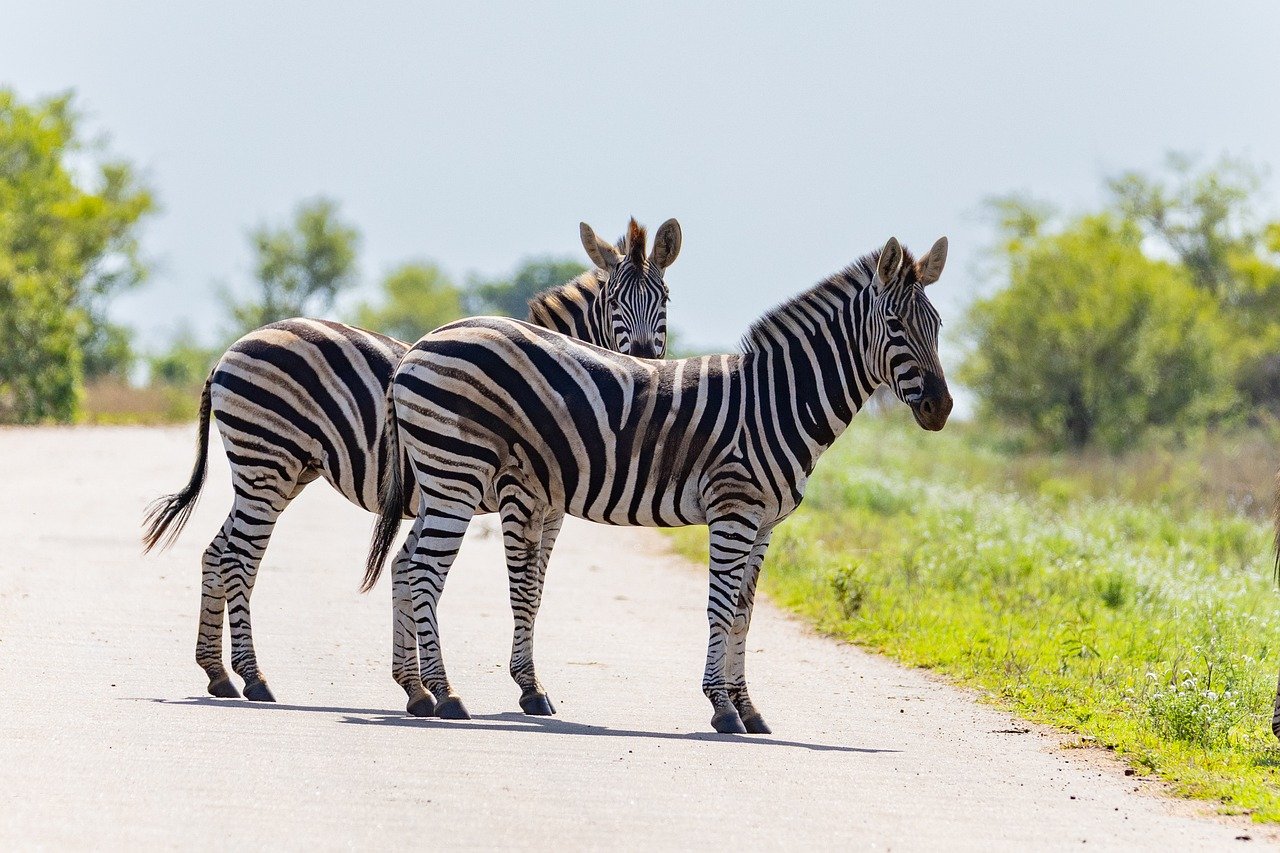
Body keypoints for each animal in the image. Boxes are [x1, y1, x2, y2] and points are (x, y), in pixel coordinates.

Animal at [142, 217, 682, 708]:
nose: (646, 359)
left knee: (218, 552)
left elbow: (520, 584)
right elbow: (522, 587)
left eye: (665, 300)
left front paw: (419, 686)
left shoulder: (548, 507)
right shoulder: (518, 497)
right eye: (613, 301)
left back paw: (218, 674)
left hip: (280, 473)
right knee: (239, 558)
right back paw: (254, 678)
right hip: (267, 464)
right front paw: (527, 688)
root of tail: (230, 351)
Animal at [363, 234, 952, 733]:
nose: (941, 407)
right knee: (425, 572)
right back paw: (447, 696)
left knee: (406, 564)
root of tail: (424, 342)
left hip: (440, 478)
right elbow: (720, 607)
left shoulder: (764, 523)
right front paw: (721, 707)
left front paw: (748, 707)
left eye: (938, 325)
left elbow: (745, 612)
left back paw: (419, 693)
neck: (775, 403)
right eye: (896, 324)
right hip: (456, 473)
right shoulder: (734, 510)